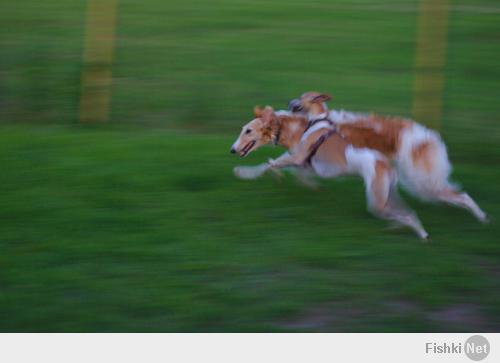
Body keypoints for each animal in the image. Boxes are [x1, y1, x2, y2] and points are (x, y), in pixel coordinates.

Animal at [230, 106, 430, 240]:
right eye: (242, 129)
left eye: (248, 131)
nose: (232, 150)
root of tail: (387, 165)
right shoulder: (301, 161)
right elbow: (278, 167)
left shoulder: (298, 157)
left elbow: (270, 164)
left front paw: (245, 172)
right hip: (386, 195)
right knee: (407, 212)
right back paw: (400, 228)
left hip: (377, 202)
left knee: (407, 216)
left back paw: (420, 233)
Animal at [290, 91, 488, 225]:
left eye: (300, 97)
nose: (289, 101)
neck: (321, 120)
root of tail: (428, 138)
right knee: (456, 195)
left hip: (421, 182)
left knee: (461, 195)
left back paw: (481, 217)